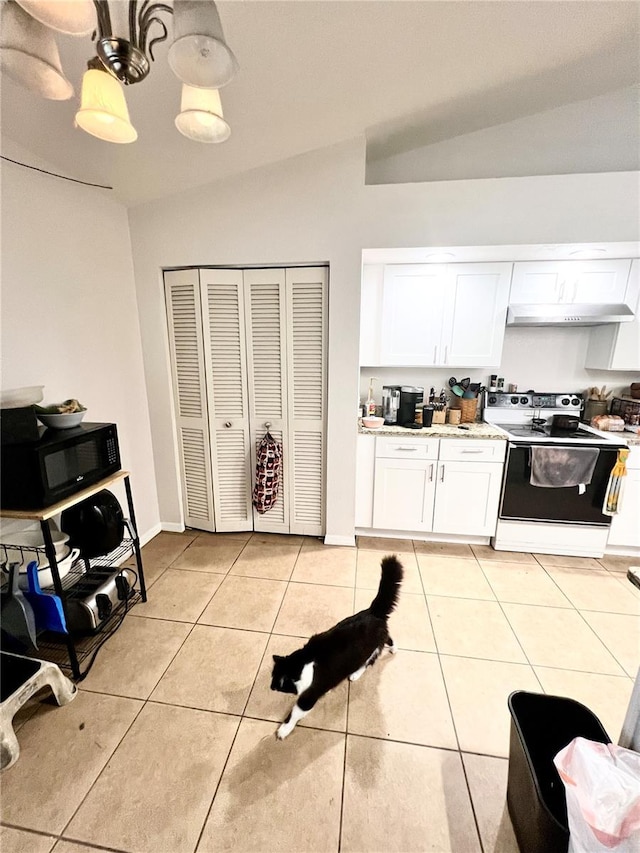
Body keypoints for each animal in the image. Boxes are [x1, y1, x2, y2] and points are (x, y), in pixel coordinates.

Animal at [272, 556, 402, 736]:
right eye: (272, 677)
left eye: (277, 684)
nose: (270, 687)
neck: (304, 661)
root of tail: (373, 611)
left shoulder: (310, 695)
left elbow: (296, 711)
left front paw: (284, 730)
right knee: (386, 639)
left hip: (370, 648)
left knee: (371, 659)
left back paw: (359, 672)